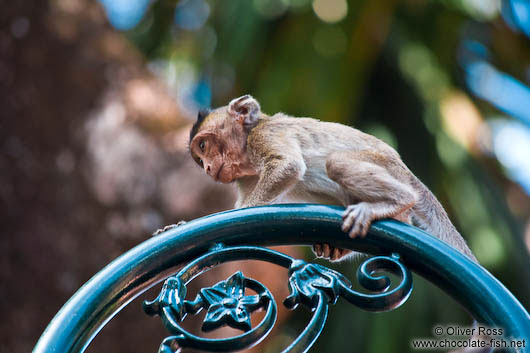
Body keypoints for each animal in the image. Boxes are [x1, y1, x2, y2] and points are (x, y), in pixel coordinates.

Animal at [185, 93, 474, 262]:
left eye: (203, 146)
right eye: (199, 159)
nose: (208, 167)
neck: (248, 140)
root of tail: (405, 171)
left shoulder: (265, 135)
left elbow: (288, 166)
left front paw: (245, 210)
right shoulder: (245, 176)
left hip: (389, 168)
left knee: (337, 162)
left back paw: (397, 200)